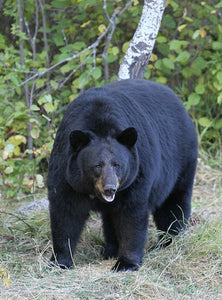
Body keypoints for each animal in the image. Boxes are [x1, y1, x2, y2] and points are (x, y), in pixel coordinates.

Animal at [47, 79, 198, 272]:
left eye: (117, 165)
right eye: (97, 165)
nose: (110, 188)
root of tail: (179, 102)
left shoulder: (136, 175)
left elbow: (131, 215)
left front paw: (126, 263)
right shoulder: (66, 173)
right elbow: (65, 213)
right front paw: (60, 261)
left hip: (181, 162)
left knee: (173, 204)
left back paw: (169, 242)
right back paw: (110, 250)